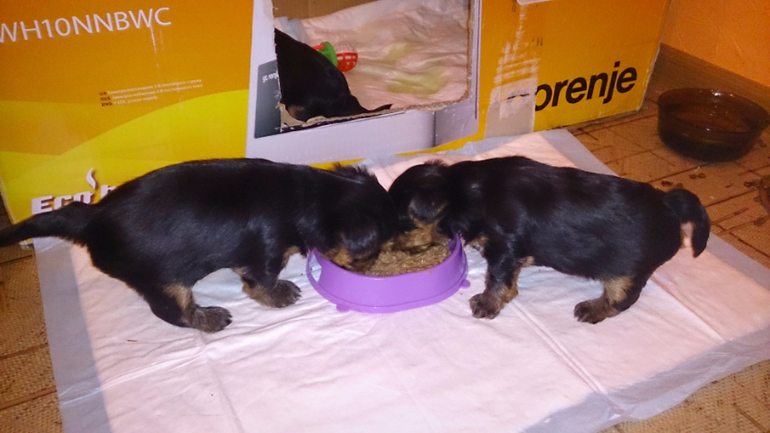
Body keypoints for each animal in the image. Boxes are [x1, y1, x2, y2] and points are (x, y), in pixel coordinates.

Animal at [0, 159, 398, 332]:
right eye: (371, 252)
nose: (372, 269)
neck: (312, 197)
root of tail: (91, 217)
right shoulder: (264, 255)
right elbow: (261, 283)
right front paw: (282, 294)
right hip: (162, 280)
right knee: (171, 312)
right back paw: (209, 318)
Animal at [388, 156, 710, 323]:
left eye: (401, 224)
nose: (389, 249)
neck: (463, 190)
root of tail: (670, 204)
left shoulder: (505, 248)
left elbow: (498, 281)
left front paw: (487, 304)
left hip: (628, 269)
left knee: (623, 299)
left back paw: (591, 309)